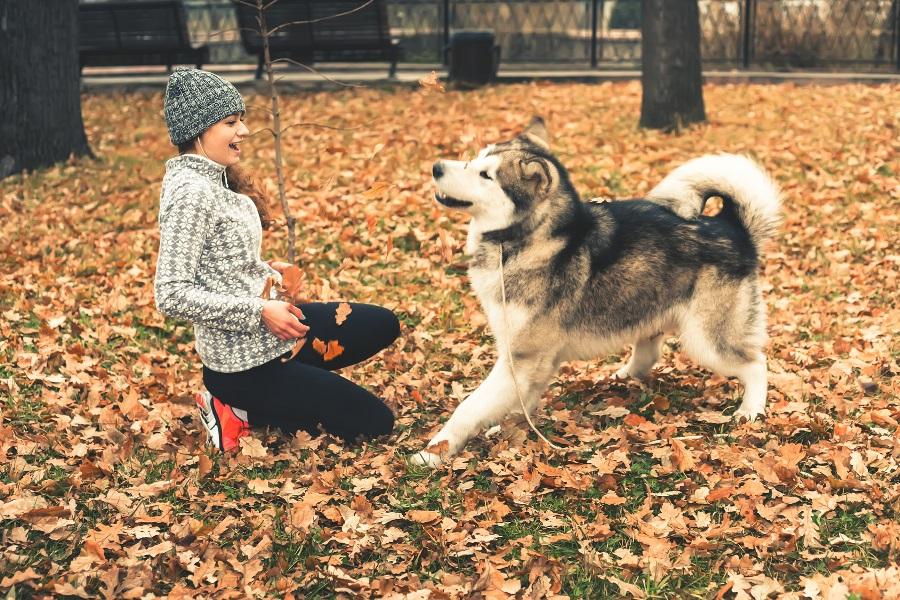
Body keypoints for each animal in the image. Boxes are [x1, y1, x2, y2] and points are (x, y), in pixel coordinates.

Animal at [414, 117, 780, 464]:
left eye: (485, 175)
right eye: (475, 158)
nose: (436, 167)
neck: (526, 241)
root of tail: (732, 226)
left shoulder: (520, 358)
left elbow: (469, 407)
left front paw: (434, 452)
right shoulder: (529, 361)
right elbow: (520, 400)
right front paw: (509, 425)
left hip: (707, 342)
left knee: (755, 364)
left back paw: (751, 410)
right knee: (648, 355)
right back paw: (622, 377)